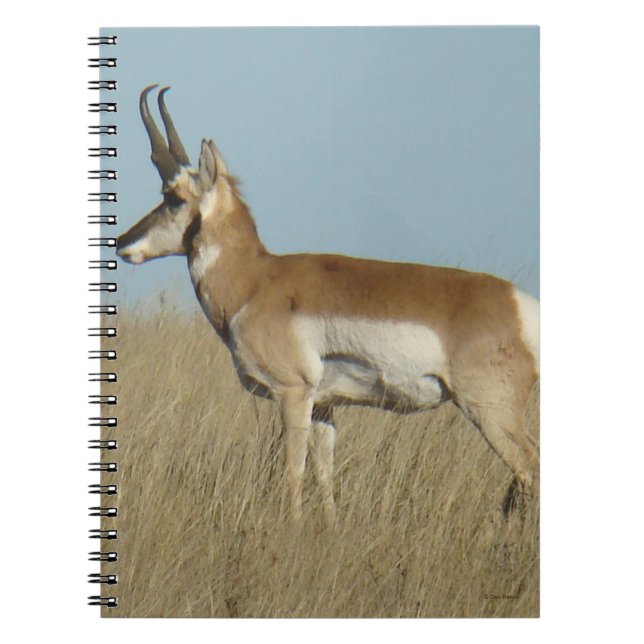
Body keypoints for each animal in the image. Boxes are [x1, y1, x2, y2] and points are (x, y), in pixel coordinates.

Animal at [116, 84, 540, 528]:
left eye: (173, 197)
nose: (122, 242)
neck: (256, 279)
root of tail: (520, 305)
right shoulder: (324, 406)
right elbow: (323, 472)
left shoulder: (293, 394)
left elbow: (293, 468)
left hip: (490, 413)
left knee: (530, 469)